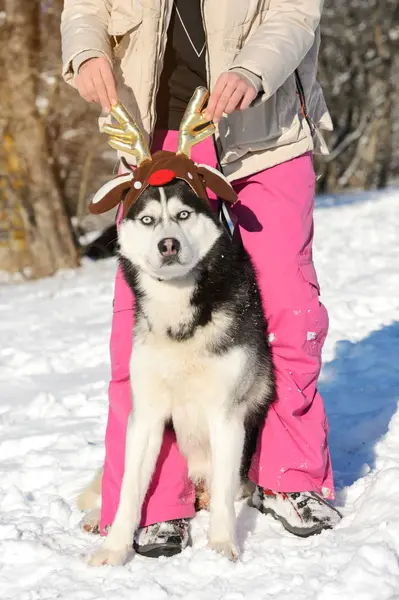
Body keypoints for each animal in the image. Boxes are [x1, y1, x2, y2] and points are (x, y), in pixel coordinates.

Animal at [87, 175, 276, 568]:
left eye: (183, 215)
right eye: (147, 220)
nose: (168, 244)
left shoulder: (226, 417)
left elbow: (224, 494)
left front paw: (221, 544)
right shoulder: (145, 417)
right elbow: (129, 489)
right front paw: (114, 548)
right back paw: (97, 518)